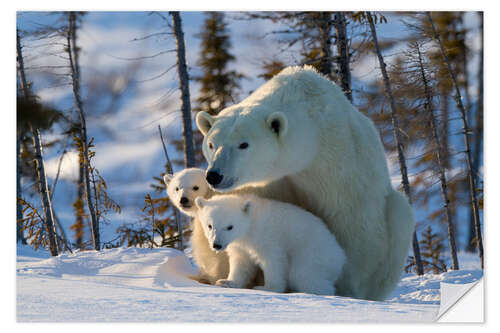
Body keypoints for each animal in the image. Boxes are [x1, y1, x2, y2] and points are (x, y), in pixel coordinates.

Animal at [193, 193, 346, 294]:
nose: (216, 245)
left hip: (312, 253)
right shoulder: (240, 244)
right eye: (210, 225)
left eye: (230, 226)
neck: (252, 223)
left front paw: (267, 288)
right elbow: (241, 262)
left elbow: (273, 261)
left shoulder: (268, 237)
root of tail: (340, 256)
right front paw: (226, 282)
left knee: (304, 274)